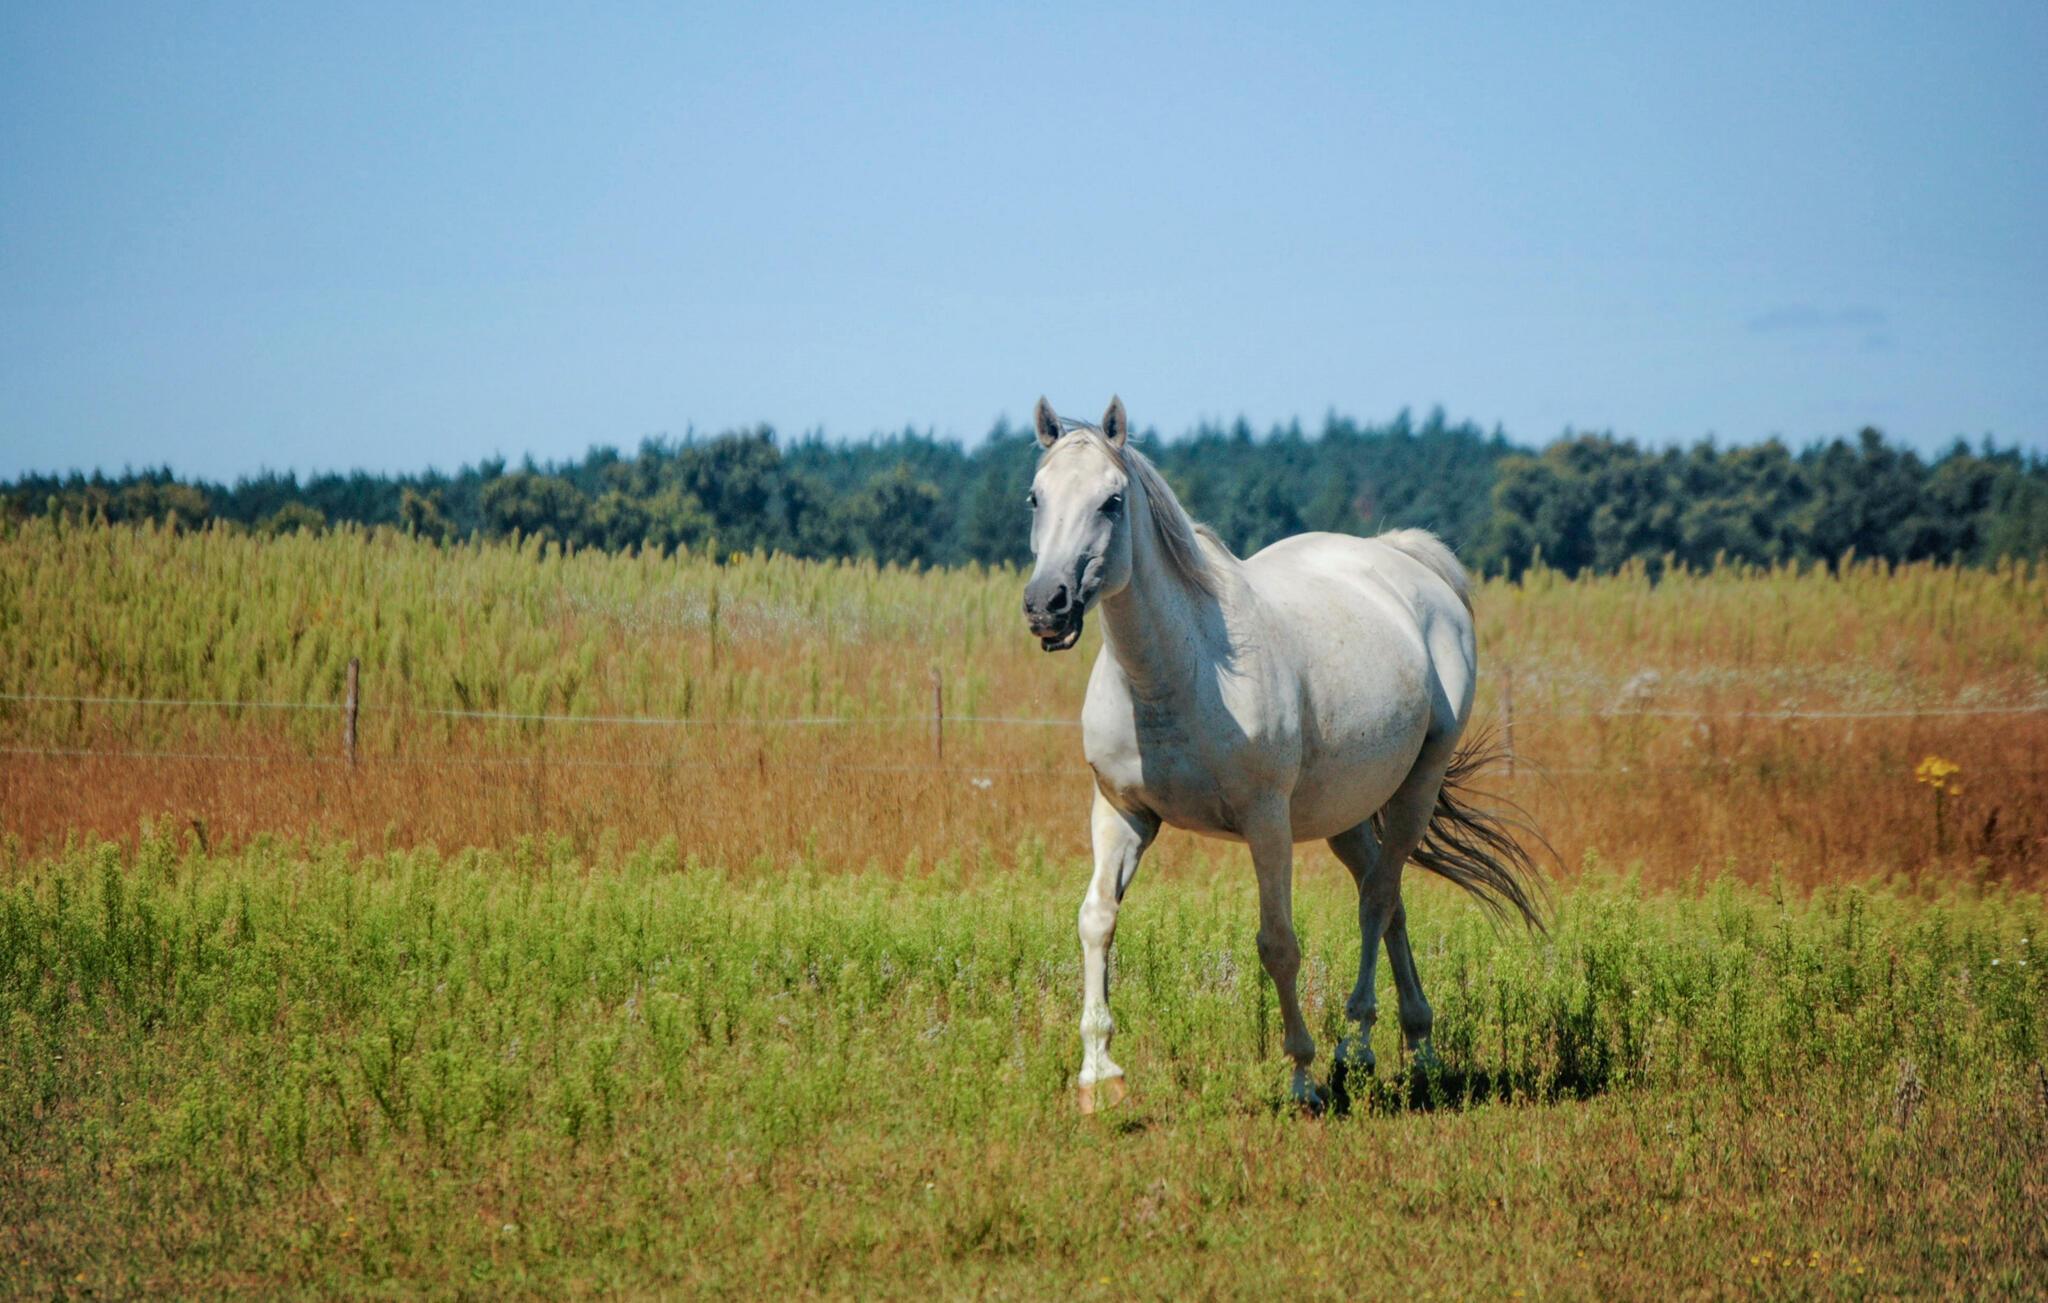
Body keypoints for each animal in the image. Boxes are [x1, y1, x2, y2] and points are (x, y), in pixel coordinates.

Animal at [1021, 395, 1544, 1113]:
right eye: (1035, 497)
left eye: (1112, 500)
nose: (1047, 605)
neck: (1179, 672)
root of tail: (1405, 562)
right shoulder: (1121, 813)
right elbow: (1097, 920)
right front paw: (1099, 1074)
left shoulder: (1266, 823)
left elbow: (1278, 944)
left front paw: (1302, 1075)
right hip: (1348, 812)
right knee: (1390, 898)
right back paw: (1418, 1043)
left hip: (1417, 785)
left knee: (1377, 898)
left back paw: (1357, 1045)